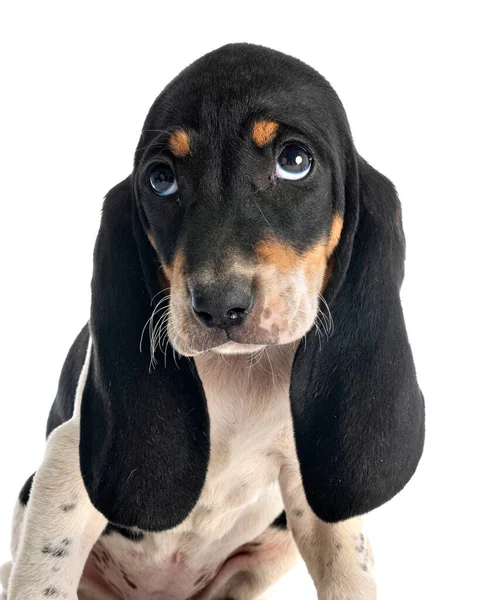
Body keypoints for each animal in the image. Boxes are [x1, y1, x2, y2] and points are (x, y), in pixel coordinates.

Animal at [1, 43, 424, 600]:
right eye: (161, 179)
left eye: (294, 162)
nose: (220, 305)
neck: (238, 371)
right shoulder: (66, 470)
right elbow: (43, 579)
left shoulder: (314, 492)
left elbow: (347, 572)